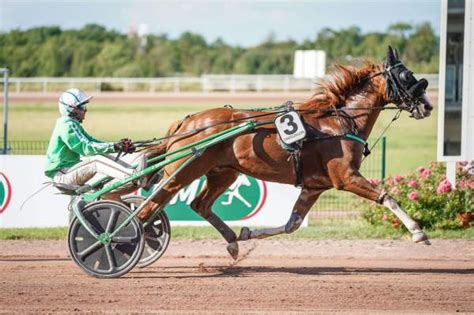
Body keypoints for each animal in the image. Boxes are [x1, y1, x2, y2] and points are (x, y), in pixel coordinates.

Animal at [135, 47, 432, 260]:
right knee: (150, 206)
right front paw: (418, 232)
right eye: (406, 76)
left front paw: (247, 233)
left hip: (224, 173)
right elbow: (387, 198)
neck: (339, 121)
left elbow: (292, 224)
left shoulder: (314, 187)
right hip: (182, 172)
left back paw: (231, 242)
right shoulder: (346, 177)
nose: (427, 106)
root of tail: (187, 121)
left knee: (200, 204)